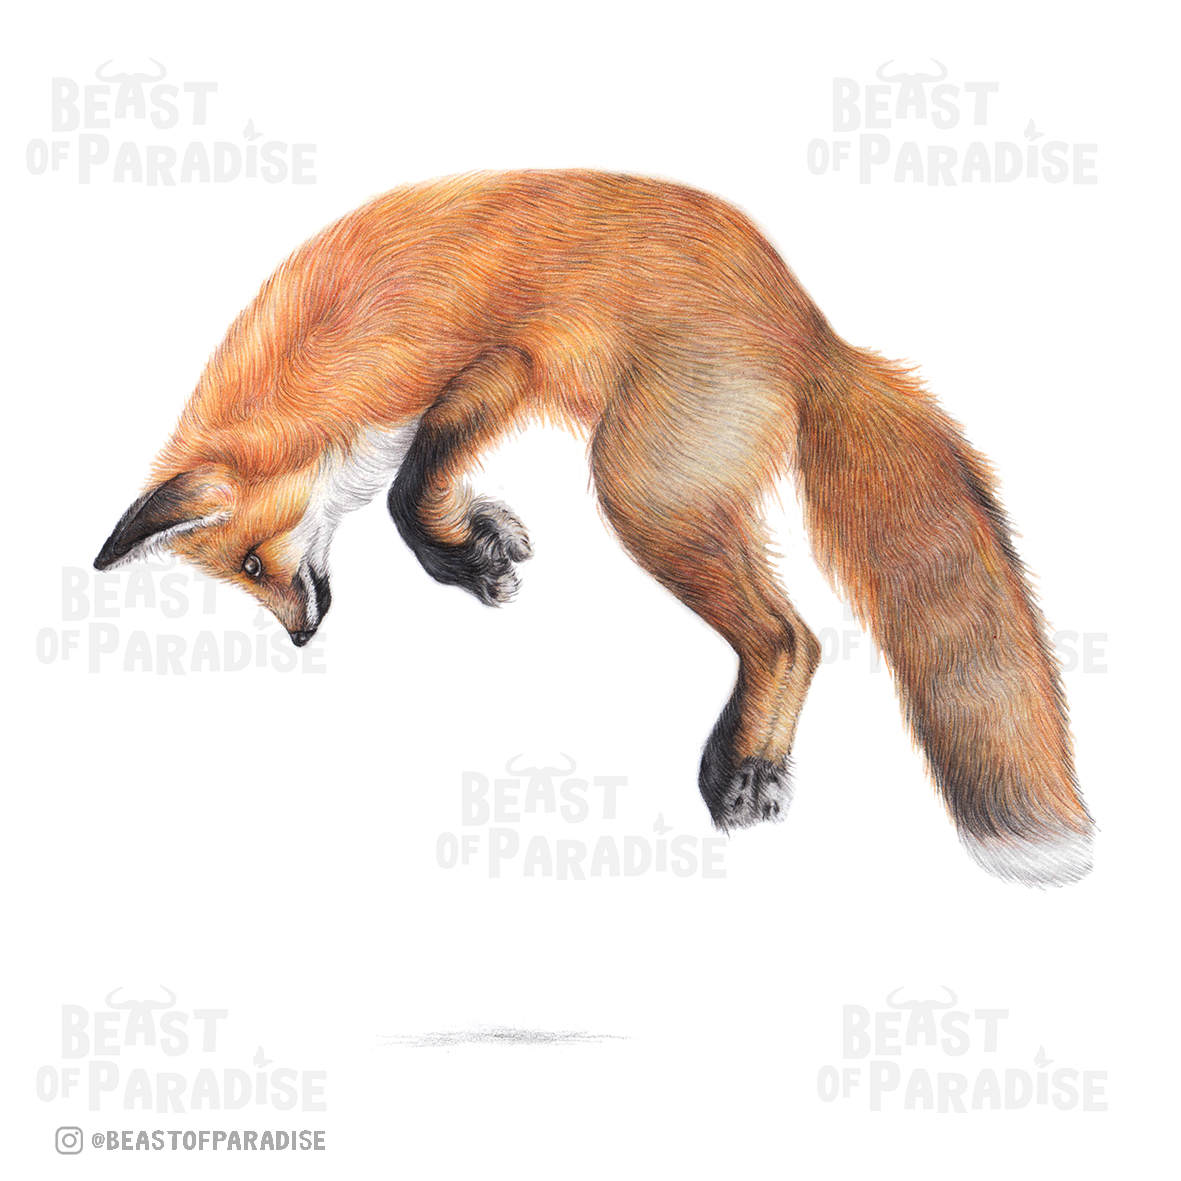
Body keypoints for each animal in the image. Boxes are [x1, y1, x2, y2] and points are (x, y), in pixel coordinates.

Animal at [95, 170, 1092, 887]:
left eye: (254, 563)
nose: (303, 637)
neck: (313, 364)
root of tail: (811, 332)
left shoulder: (491, 361)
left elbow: (404, 493)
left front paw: (462, 554)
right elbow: (417, 493)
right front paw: (479, 542)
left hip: (642, 490)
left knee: (791, 636)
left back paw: (742, 766)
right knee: (800, 637)